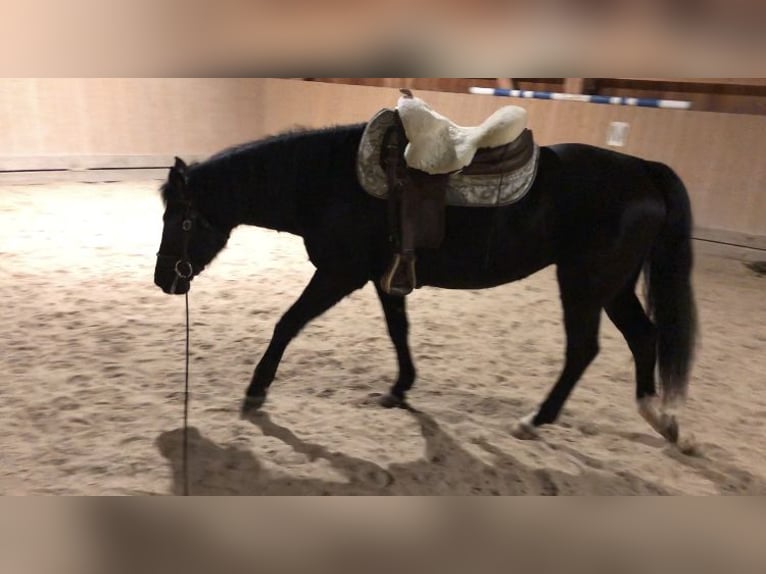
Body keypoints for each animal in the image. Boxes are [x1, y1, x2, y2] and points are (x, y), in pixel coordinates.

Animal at [154, 121, 697, 444]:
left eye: (179, 219)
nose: (163, 280)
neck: (327, 181)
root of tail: (643, 170)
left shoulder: (339, 273)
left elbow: (287, 323)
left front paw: (256, 390)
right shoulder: (382, 276)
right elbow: (399, 331)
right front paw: (400, 389)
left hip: (584, 283)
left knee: (584, 349)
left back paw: (536, 419)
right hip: (615, 286)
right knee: (644, 337)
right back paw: (660, 417)